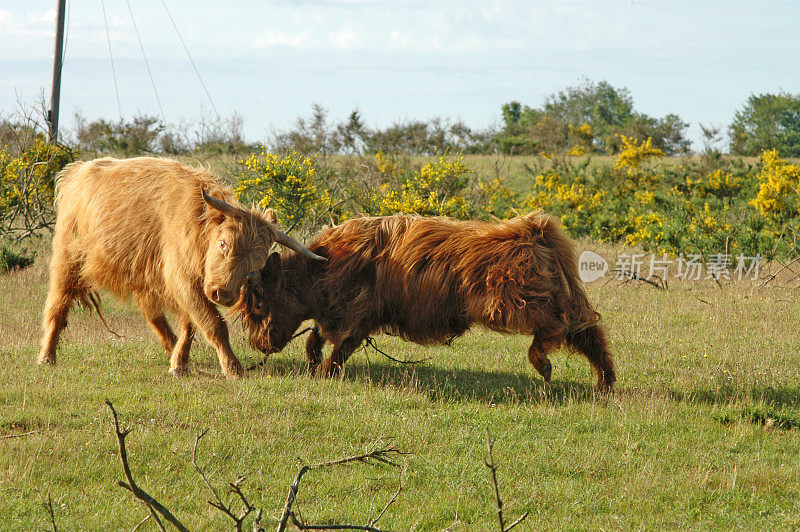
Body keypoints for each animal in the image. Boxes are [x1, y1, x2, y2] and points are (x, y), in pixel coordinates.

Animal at [37, 158, 324, 378]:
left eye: (256, 266)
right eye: (223, 244)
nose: (223, 294)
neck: (198, 225)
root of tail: (77, 171)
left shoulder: (187, 285)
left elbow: (191, 323)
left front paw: (180, 364)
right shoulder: (183, 280)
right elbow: (213, 323)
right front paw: (233, 368)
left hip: (144, 276)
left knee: (154, 316)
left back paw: (171, 348)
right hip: (67, 260)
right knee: (57, 306)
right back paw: (46, 356)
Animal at [241, 213, 616, 390]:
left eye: (258, 306)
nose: (258, 344)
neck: (323, 267)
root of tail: (532, 230)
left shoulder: (357, 315)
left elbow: (339, 346)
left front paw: (324, 373)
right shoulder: (339, 314)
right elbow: (317, 338)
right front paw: (315, 363)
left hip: (513, 303)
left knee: (560, 327)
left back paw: (543, 363)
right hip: (555, 297)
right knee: (587, 330)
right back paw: (605, 382)